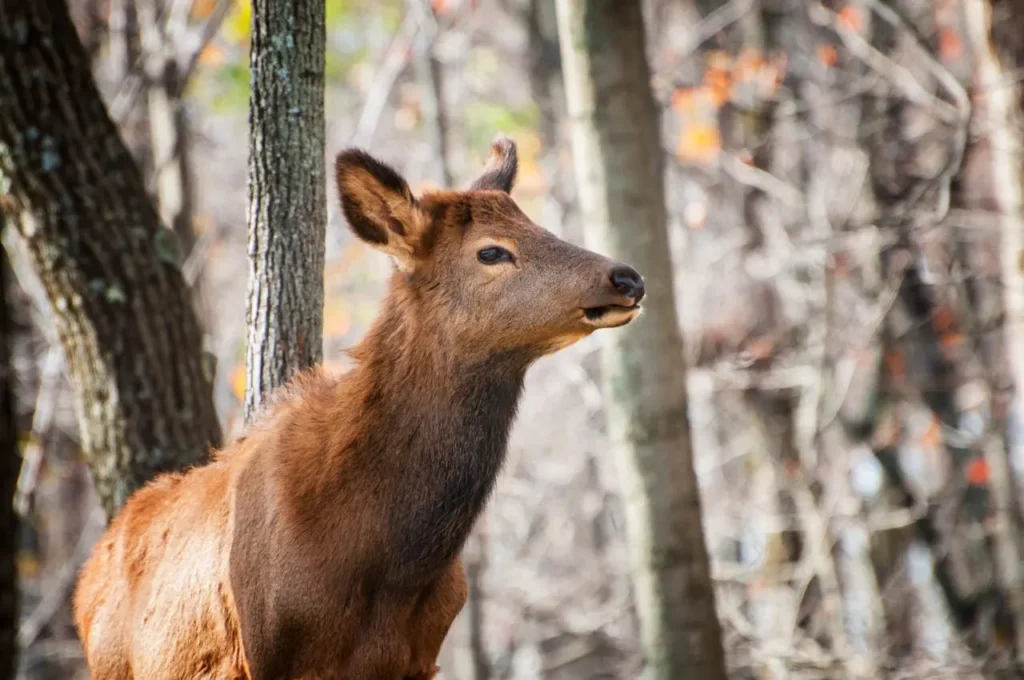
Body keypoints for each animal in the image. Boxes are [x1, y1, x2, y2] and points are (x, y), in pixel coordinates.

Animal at [74, 138, 647, 680]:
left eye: (538, 225)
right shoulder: (263, 656)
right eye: (491, 252)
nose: (628, 278)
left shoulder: (420, 659)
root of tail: (87, 580)